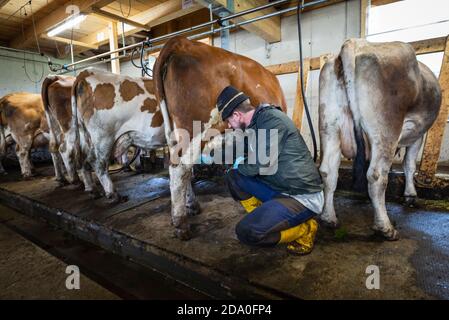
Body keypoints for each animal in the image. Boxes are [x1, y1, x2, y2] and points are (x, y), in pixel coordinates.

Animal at [70, 68, 166, 202]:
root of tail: (87, 72)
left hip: (84, 135)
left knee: (84, 161)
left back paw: (92, 189)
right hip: (103, 137)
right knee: (97, 162)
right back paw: (113, 193)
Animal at [154, 36, 288, 239]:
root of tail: (182, 41)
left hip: (175, 131)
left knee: (180, 165)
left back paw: (191, 205)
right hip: (194, 128)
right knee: (180, 168)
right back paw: (181, 223)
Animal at [318, 38, 440, 240]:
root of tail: (356, 43)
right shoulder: (417, 135)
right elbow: (409, 165)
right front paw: (410, 195)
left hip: (330, 126)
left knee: (328, 172)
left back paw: (329, 218)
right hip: (385, 129)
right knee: (376, 176)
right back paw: (385, 227)